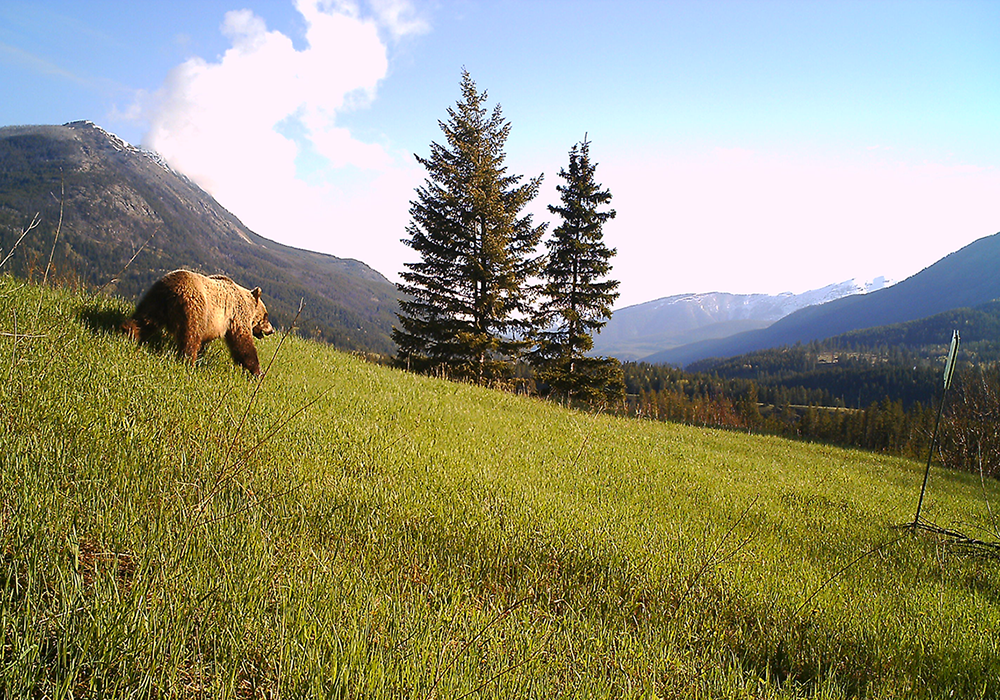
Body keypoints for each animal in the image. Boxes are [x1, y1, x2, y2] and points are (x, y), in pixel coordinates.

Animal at [123, 269, 275, 375]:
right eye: (266, 316)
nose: (272, 330)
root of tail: (172, 291)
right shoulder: (235, 315)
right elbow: (242, 342)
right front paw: (257, 371)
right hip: (194, 308)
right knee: (191, 336)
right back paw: (188, 361)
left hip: (155, 300)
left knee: (144, 320)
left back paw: (128, 334)